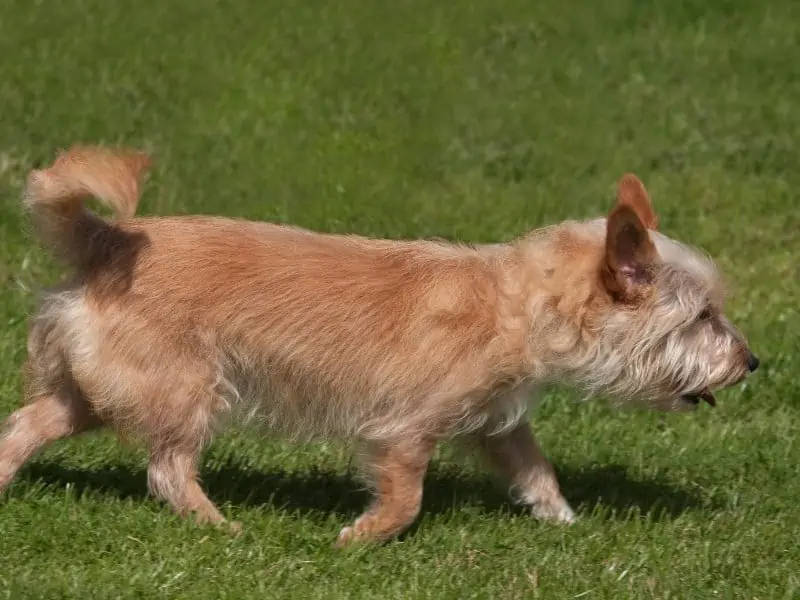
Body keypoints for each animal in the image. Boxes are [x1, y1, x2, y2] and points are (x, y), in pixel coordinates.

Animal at [0, 148, 760, 548]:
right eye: (703, 317)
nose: (753, 362)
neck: (510, 301)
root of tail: (105, 241)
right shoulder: (404, 431)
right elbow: (406, 499)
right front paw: (358, 540)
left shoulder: (497, 423)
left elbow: (536, 470)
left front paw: (563, 522)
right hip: (185, 393)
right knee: (165, 470)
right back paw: (223, 527)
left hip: (92, 393)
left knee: (24, 426)